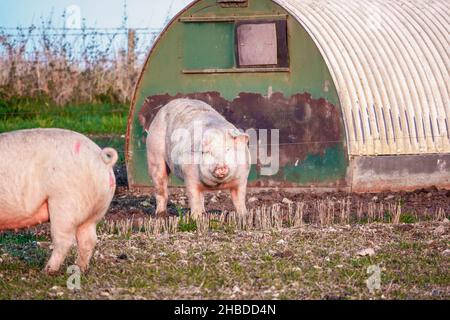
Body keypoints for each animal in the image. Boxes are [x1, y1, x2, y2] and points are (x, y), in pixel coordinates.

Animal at [0, 129, 118, 274]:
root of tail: (100, 157)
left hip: (65, 204)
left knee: (64, 240)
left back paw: (47, 271)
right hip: (97, 211)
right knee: (88, 239)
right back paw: (79, 269)